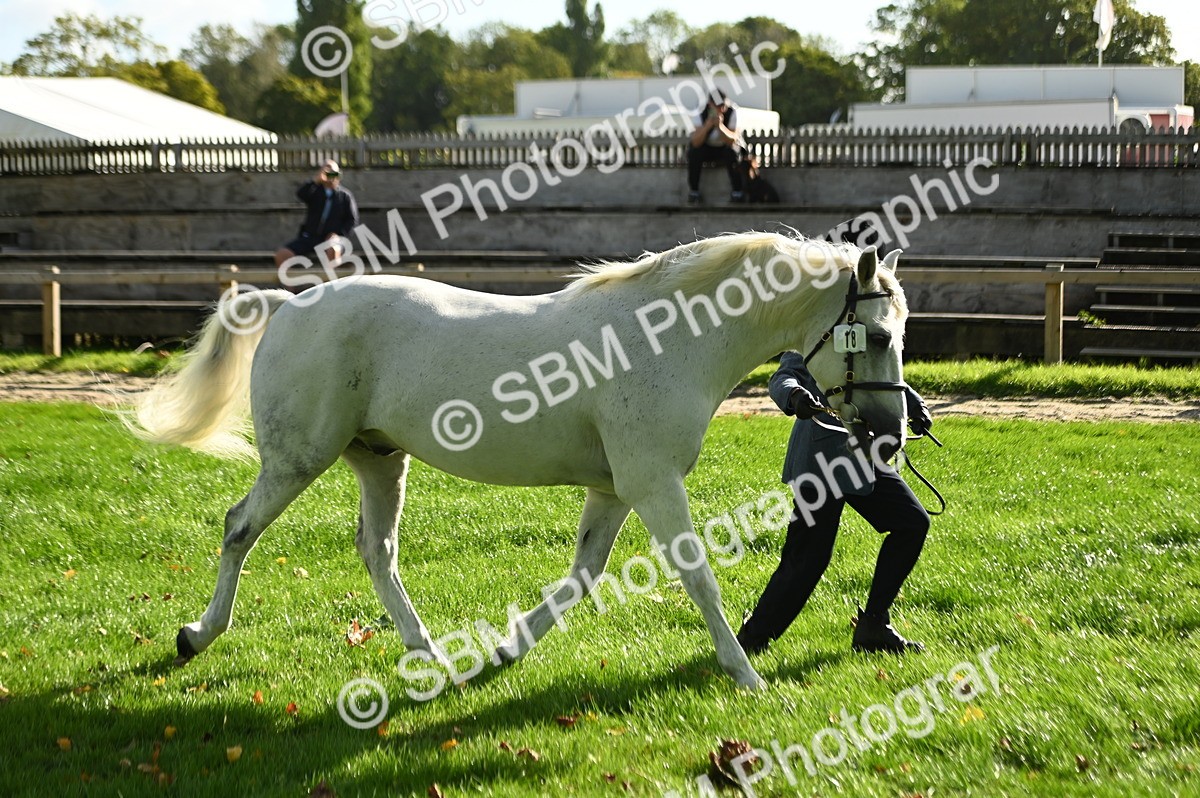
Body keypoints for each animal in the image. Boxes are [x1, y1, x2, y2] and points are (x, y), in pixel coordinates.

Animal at [127, 232, 910, 691]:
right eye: (874, 335)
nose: (892, 432)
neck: (667, 341)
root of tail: (288, 305)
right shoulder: (654, 483)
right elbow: (699, 578)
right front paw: (745, 675)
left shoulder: (617, 489)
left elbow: (582, 576)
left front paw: (505, 651)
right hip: (297, 460)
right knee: (238, 528)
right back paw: (197, 635)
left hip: (379, 460)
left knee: (377, 551)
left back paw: (430, 656)